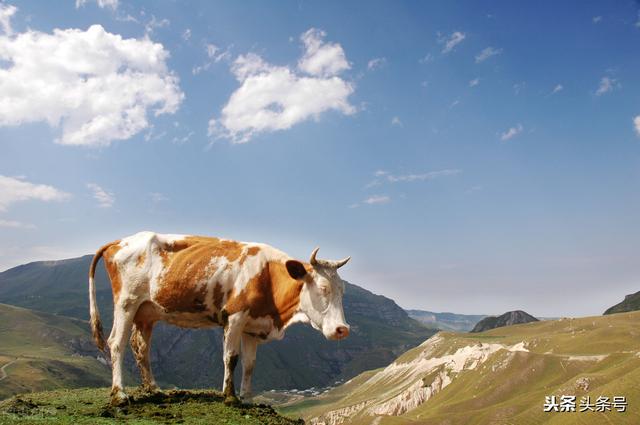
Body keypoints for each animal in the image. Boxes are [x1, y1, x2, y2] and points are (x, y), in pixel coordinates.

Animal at [87, 232, 350, 404]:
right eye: (323, 288)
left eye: (342, 290)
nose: (343, 329)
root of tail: (120, 241)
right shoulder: (234, 317)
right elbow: (231, 357)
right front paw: (230, 397)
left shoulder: (253, 327)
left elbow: (250, 364)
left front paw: (247, 398)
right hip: (126, 303)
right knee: (116, 343)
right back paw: (120, 394)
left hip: (146, 312)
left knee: (140, 347)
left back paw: (154, 389)